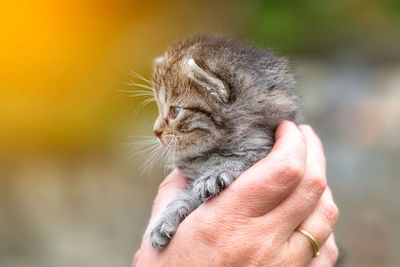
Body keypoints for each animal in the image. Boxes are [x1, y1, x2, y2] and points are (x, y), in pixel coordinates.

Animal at [149, 34, 300, 250]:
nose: (156, 132)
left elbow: (241, 161)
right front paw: (165, 218)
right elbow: (186, 195)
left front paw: (215, 174)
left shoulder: (263, 148)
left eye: (174, 111)